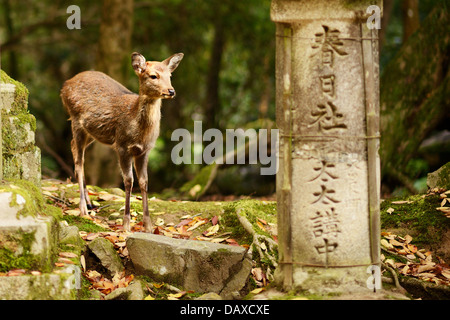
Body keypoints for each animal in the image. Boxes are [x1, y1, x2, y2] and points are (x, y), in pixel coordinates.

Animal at [60, 52, 184, 232]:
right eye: (153, 76)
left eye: (170, 76)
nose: (171, 91)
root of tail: (65, 85)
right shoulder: (122, 145)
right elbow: (128, 181)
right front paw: (126, 225)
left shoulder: (145, 150)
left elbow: (144, 182)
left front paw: (148, 226)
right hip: (76, 121)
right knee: (79, 160)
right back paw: (83, 208)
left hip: (93, 132)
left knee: (72, 147)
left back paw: (89, 203)